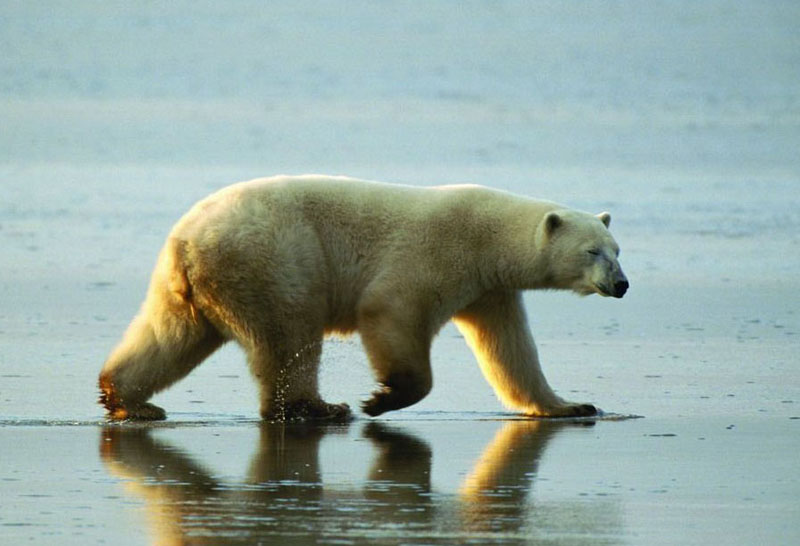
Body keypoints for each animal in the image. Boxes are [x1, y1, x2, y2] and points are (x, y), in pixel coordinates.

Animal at [98, 174, 624, 420]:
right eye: (593, 250)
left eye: (619, 249)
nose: (621, 285)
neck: (488, 237)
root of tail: (187, 241)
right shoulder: (438, 252)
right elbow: (392, 308)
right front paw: (382, 397)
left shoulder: (490, 290)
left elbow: (511, 351)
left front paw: (572, 405)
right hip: (271, 258)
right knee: (290, 334)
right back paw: (320, 408)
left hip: (190, 286)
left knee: (170, 337)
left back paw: (126, 397)